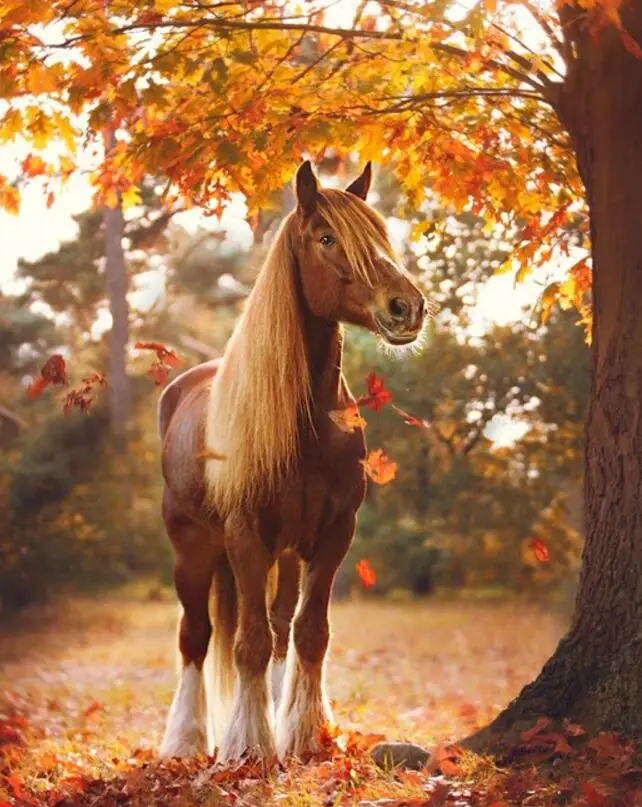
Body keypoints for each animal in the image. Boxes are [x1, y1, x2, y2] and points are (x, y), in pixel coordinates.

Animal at [158, 160, 428, 764]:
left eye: (380, 235)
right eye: (326, 238)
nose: (407, 307)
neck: (307, 426)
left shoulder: (332, 534)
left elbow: (309, 633)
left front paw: (304, 735)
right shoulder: (245, 536)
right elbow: (249, 643)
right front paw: (248, 748)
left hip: (283, 553)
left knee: (280, 627)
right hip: (194, 548)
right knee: (194, 637)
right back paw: (184, 741)